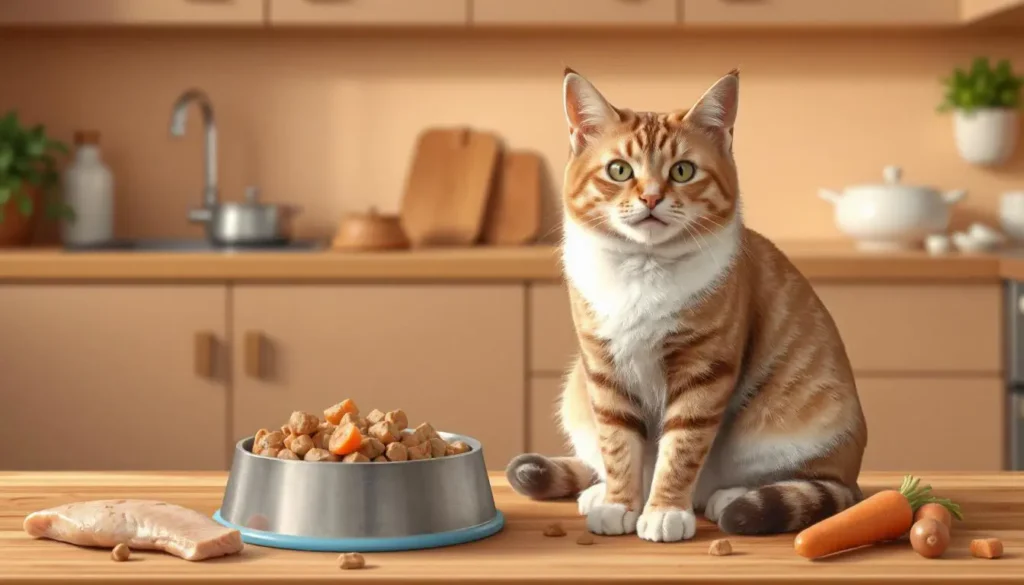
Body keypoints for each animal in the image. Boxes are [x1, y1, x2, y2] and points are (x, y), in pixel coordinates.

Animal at [503, 67, 864, 540]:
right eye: (619, 170)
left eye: (683, 170)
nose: (652, 197)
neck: (644, 269)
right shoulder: (604, 368)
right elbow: (618, 445)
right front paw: (619, 503)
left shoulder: (703, 369)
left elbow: (681, 447)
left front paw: (663, 511)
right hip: (576, 391)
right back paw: (599, 494)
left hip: (802, 424)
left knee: (808, 480)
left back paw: (729, 498)